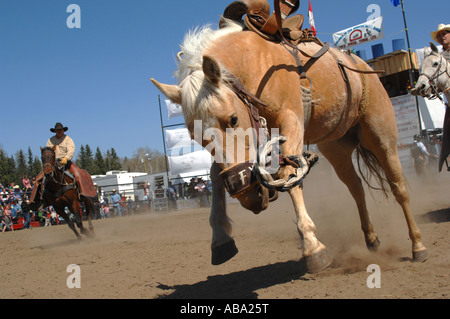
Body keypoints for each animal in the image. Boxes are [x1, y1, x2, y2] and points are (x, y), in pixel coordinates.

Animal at [152, 19, 428, 272]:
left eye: (233, 119)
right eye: (194, 135)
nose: (247, 194)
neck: (256, 65)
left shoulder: (292, 120)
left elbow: (289, 174)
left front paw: (313, 247)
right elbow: (216, 177)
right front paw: (220, 239)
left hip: (381, 136)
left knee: (398, 187)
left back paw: (418, 246)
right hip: (336, 148)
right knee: (356, 189)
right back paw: (371, 239)